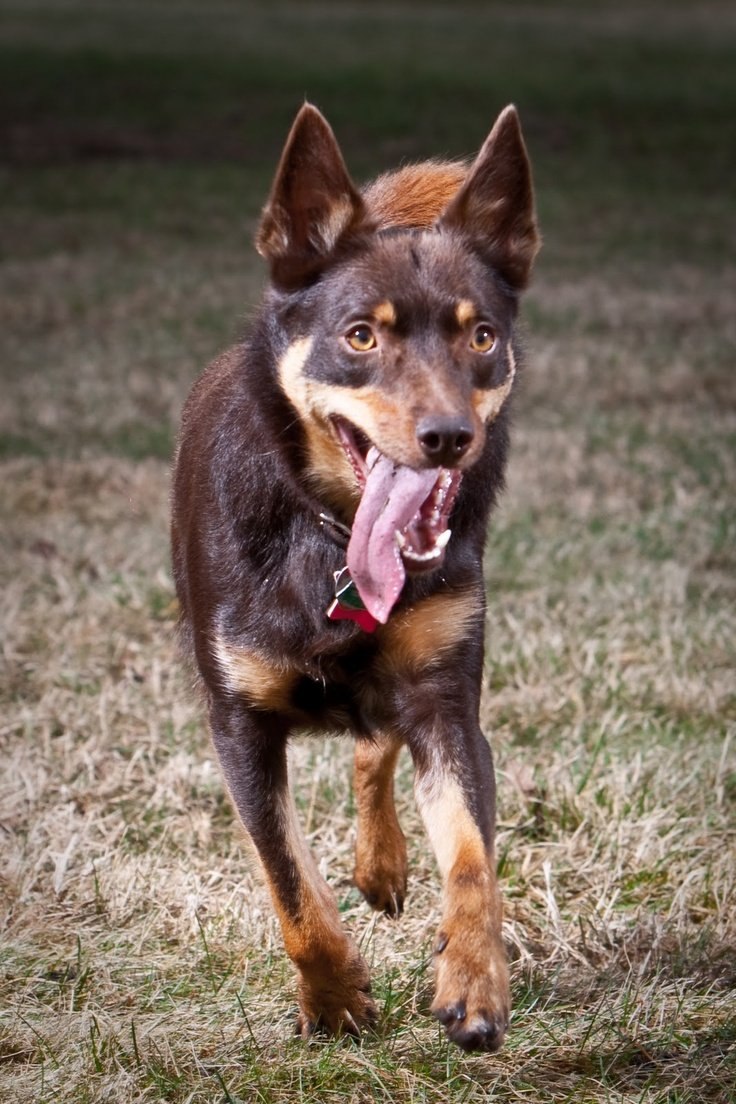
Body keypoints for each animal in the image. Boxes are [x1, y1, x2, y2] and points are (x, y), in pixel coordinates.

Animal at [173, 103, 540, 1051]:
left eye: (481, 335)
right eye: (360, 335)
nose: (449, 438)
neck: (330, 537)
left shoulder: (448, 703)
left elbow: (473, 859)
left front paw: (473, 980)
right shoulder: (239, 725)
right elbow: (288, 881)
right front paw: (334, 998)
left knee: (376, 742)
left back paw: (383, 862)